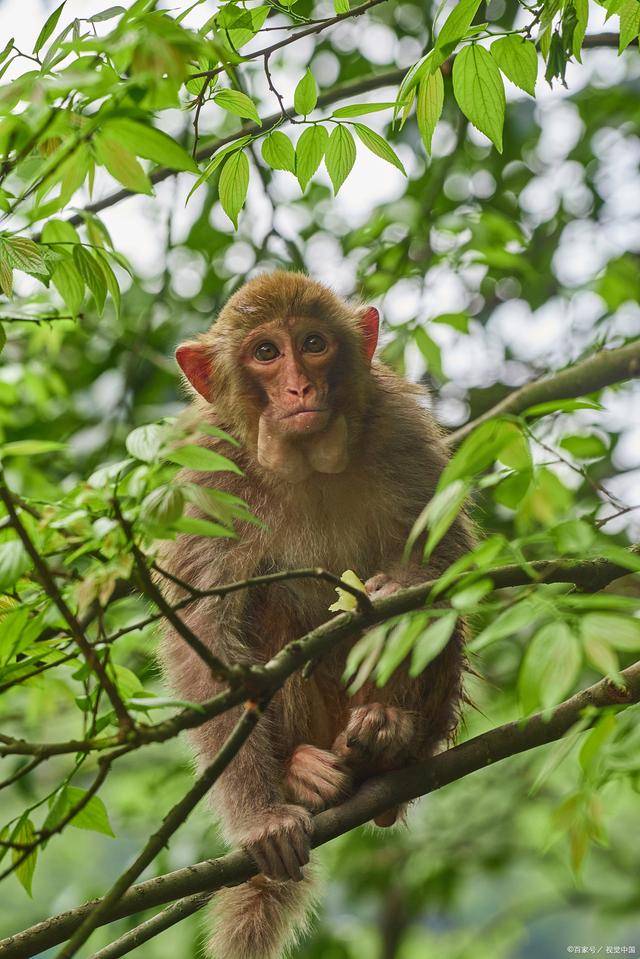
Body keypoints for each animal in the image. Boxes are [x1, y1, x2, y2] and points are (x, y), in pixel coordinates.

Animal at [158, 268, 472, 959]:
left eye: (313, 343)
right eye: (265, 353)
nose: (299, 386)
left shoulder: (402, 430)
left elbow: (450, 563)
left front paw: (391, 591)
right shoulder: (211, 476)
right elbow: (207, 641)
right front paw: (259, 819)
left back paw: (391, 735)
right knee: (269, 612)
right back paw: (301, 774)